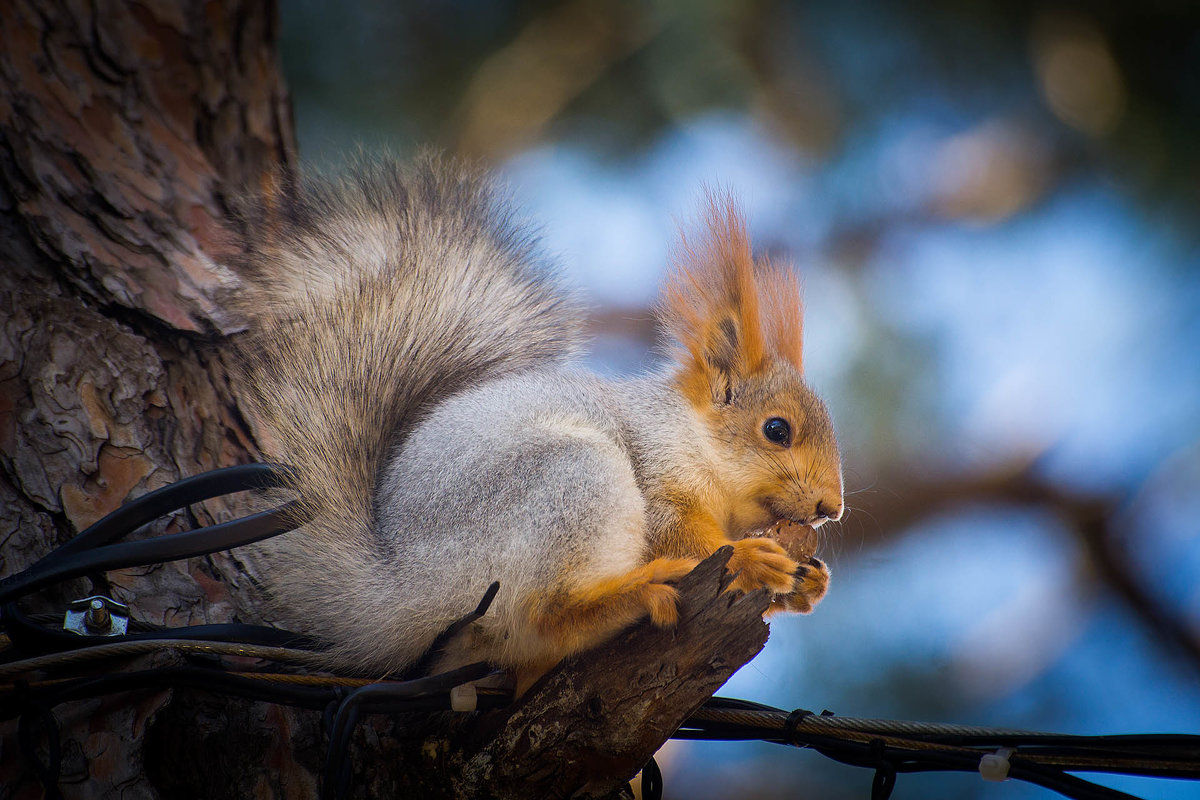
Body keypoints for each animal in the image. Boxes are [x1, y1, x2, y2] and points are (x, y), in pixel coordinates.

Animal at [226, 155, 844, 690]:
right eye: (777, 430)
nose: (831, 509)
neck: (691, 435)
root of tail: (400, 590)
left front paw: (807, 582)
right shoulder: (655, 470)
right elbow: (680, 532)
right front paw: (748, 558)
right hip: (569, 483)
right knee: (545, 614)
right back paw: (633, 595)